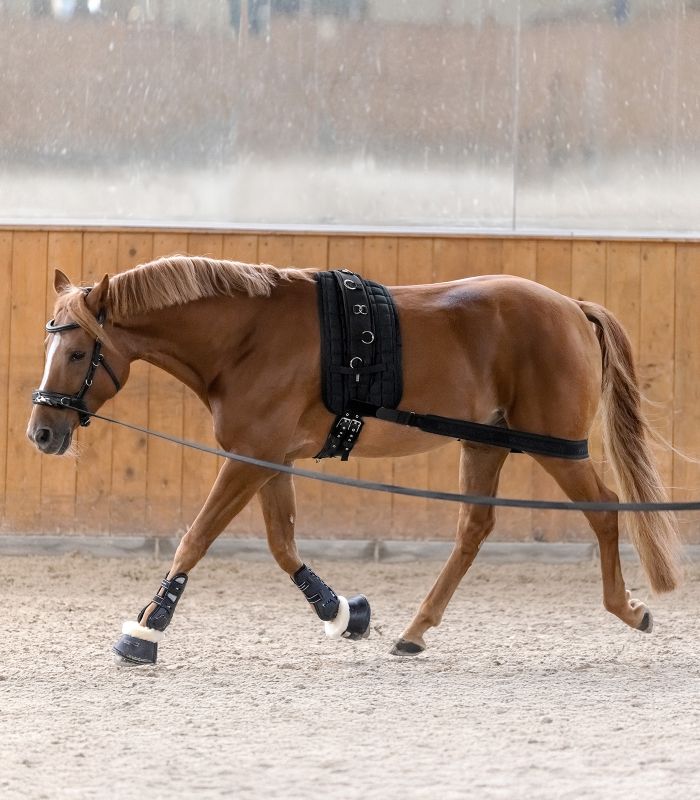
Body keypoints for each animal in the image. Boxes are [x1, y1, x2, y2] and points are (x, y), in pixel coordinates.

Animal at [27, 256, 682, 664]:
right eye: (49, 344)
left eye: (79, 351)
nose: (41, 432)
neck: (248, 337)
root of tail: (571, 307)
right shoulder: (269, 459)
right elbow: (282, 544)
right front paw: (344, 613)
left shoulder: (249, 457)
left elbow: (197, 537)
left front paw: (146, 627)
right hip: (485, 443)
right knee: (474, 529)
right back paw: (415, 632)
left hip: (557, 448)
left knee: (604, 510)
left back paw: (627, 609)